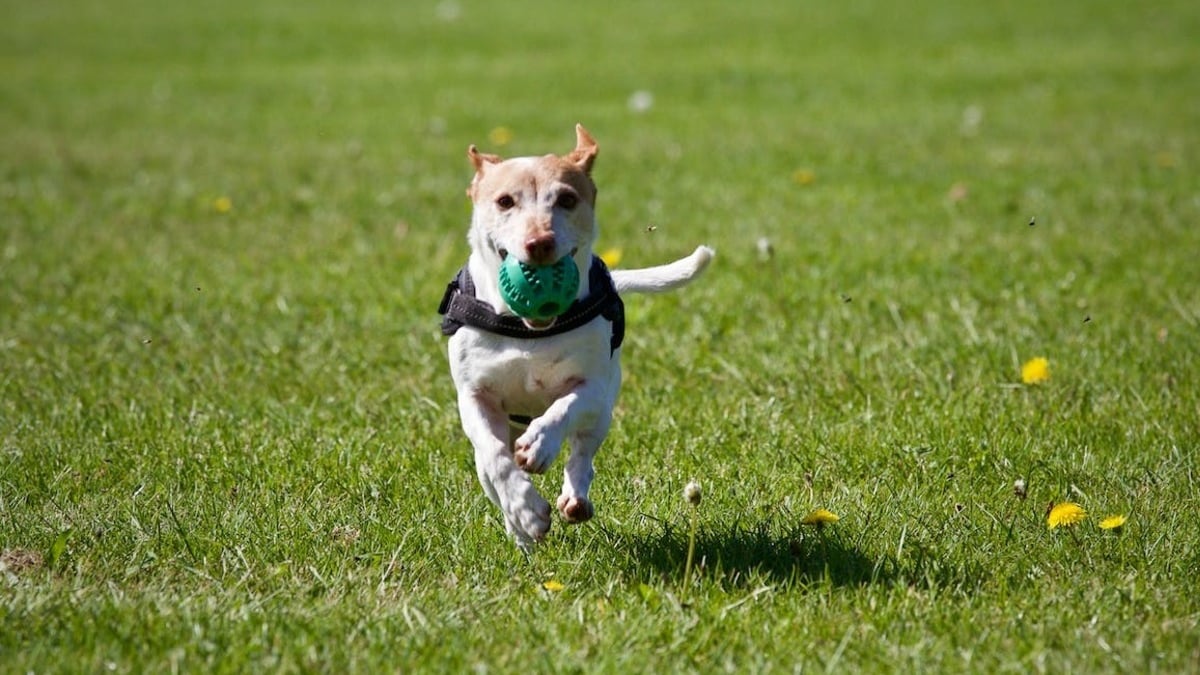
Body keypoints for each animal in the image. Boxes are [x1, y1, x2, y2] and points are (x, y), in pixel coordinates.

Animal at [446, 124, 715, 547]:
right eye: (504, 201)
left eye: (567, 199)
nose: (539, 242)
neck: (528, 331)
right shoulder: (474, 396)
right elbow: (495, 458)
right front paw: (526, 510)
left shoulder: (593, 386)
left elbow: (565, 408)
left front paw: (540, 445)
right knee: (490, 470)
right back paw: (520, 531)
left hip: (602, 413)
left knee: (583, 453)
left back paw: (574, 497)